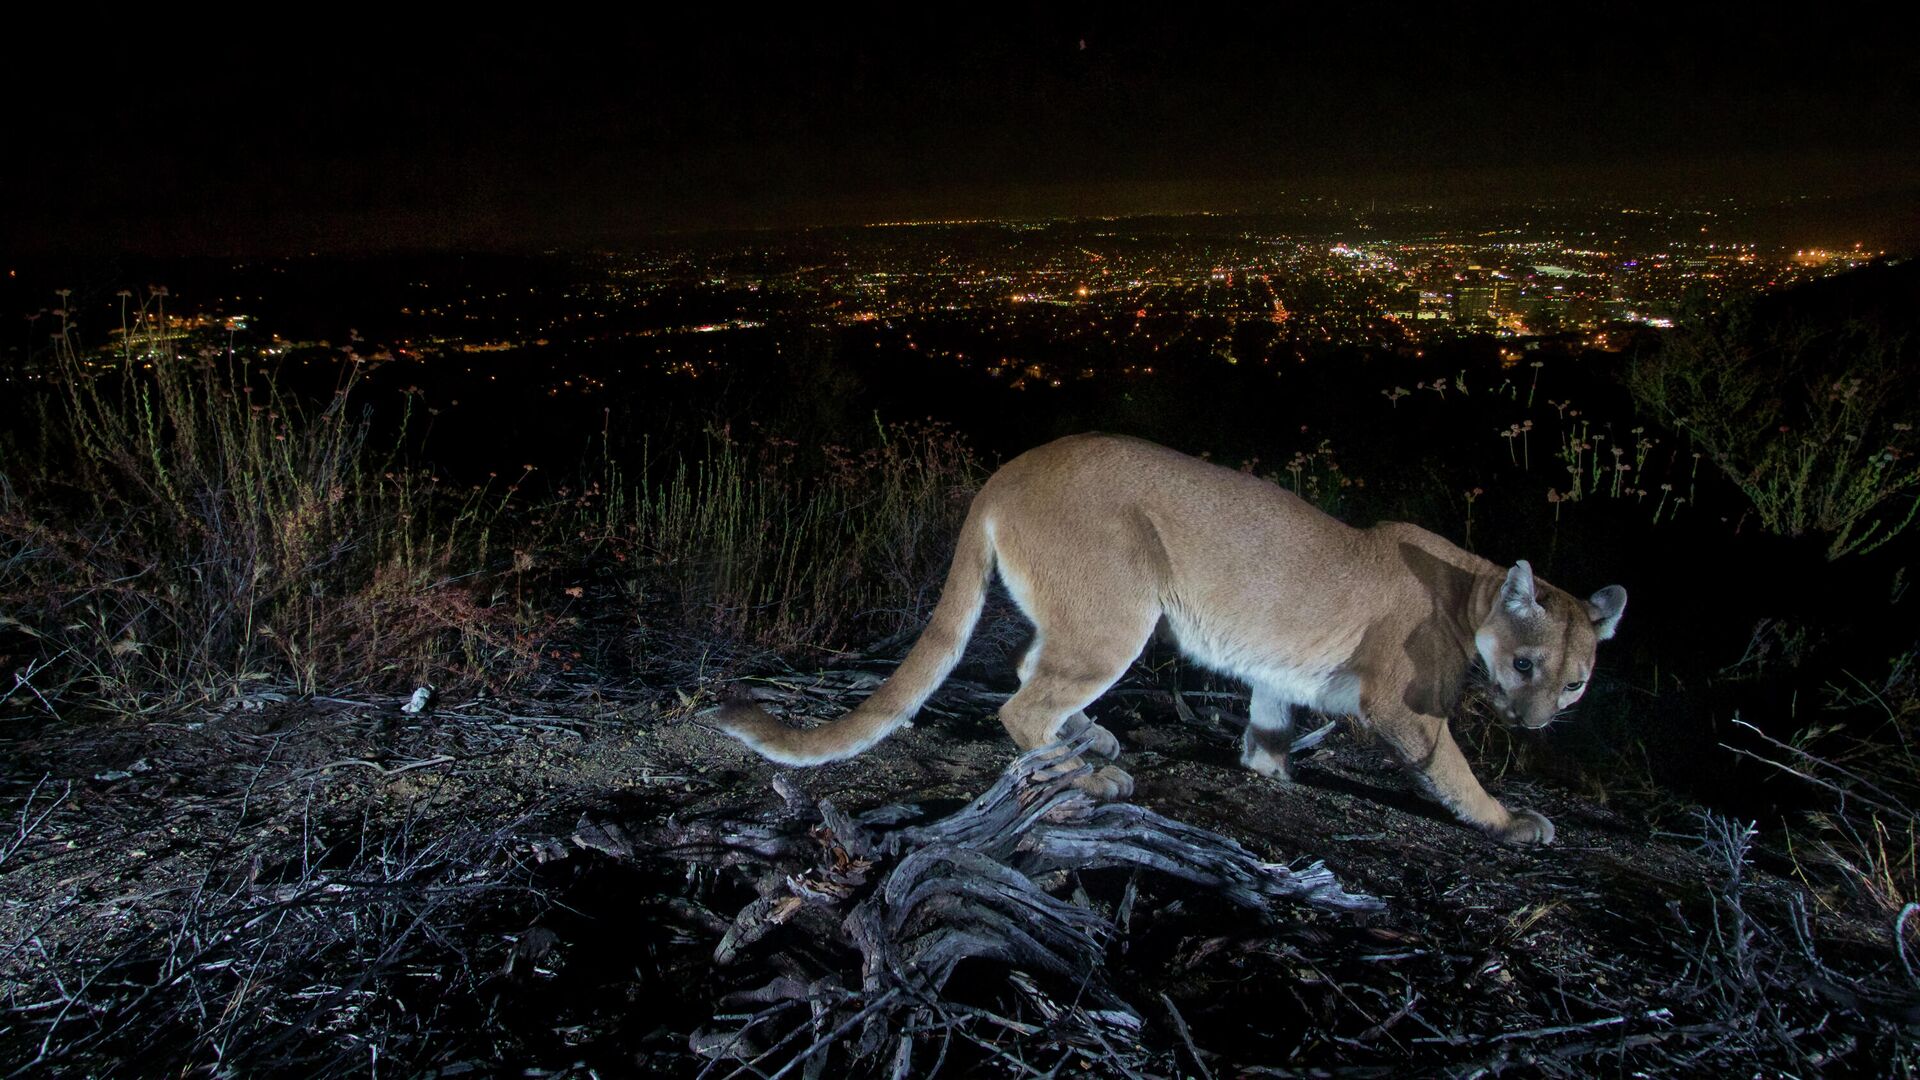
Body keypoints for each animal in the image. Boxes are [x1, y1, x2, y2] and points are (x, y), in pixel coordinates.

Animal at [714, 430, 1628, 841]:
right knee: (1023, 703)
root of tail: (1008, 469)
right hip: (1123, 608)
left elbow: (1268, 725)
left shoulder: (1280, 674)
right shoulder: (1402, 704)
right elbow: (1451, 767)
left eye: (1575, 680)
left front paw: (1270, 771)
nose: (1536, 722)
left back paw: (1092, 739)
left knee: (1030, 669)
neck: (1472, 588)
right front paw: (1508, 820)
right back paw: (1089, 773)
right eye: (1526, 663)